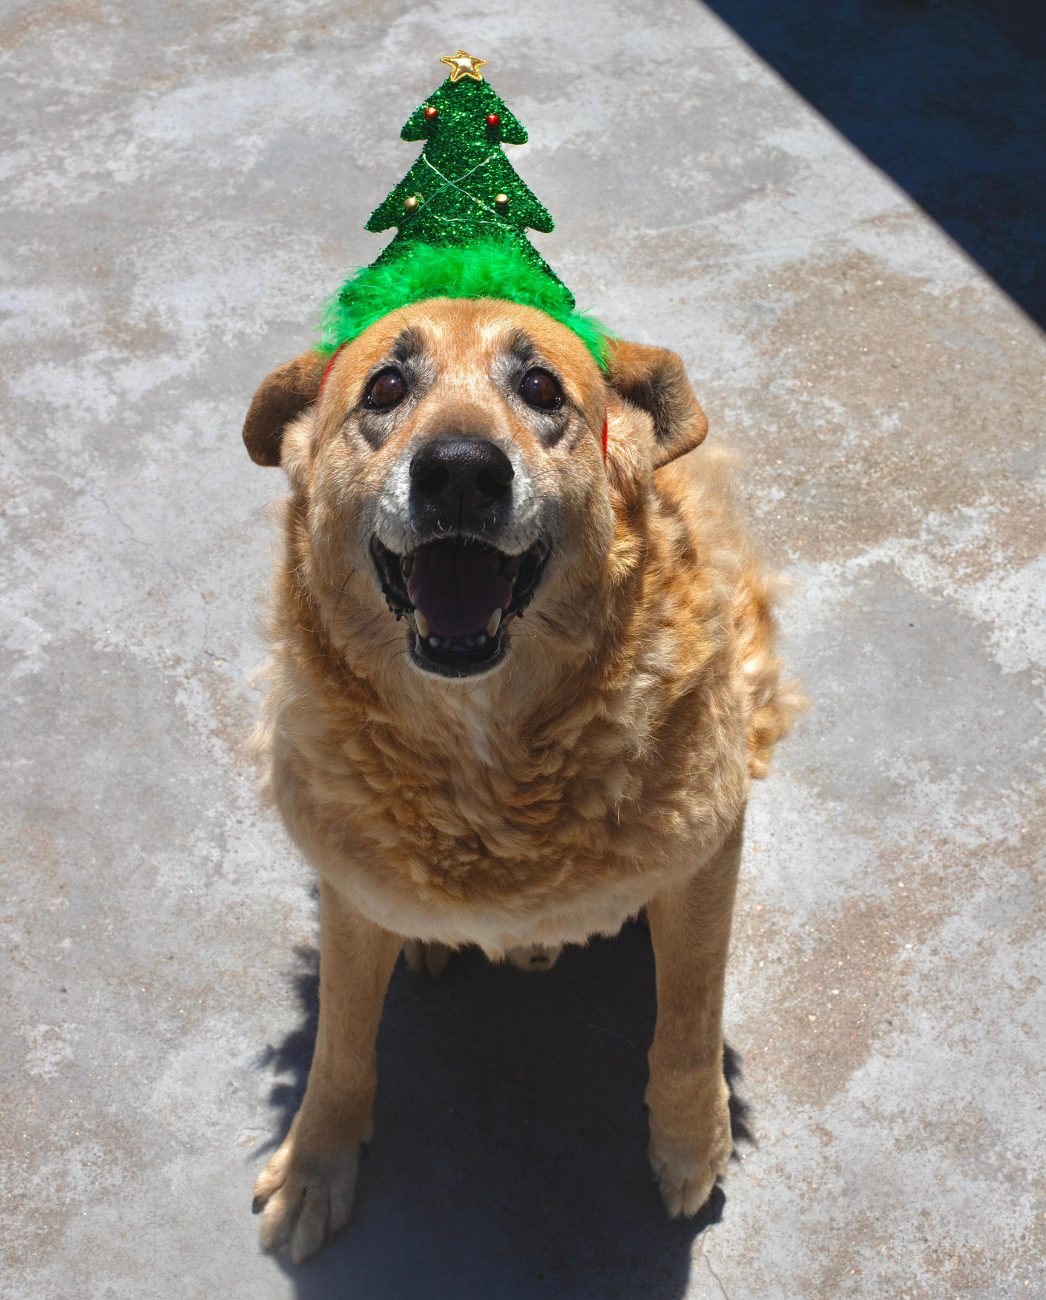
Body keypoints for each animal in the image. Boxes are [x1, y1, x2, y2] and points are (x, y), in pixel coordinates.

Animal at [242, 297, 800, 1258]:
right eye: (384, 388)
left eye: (541, 387)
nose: (461, 473)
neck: (488, 754)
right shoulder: (349, 890)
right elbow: (341, 1039)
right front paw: (316, 1161)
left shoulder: (706, 860)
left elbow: (689, 1020)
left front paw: (691, 1143)